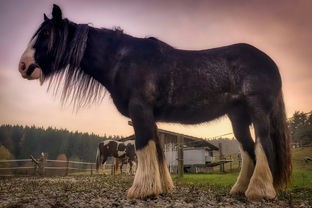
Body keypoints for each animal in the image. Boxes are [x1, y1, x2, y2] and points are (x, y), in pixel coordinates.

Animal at [18, 4, 292, 200]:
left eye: (46, 33)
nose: (24, 66)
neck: (122, 59)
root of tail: (269, 62)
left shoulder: (140, 111)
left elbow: (143, 148)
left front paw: (141, 190)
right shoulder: (150, 117)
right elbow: (157, 151)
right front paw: (161, 188)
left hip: (258, 111)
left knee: (263, 144)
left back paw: (259, 192)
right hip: (237, 117)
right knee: (248, 150)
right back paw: (239, 190)